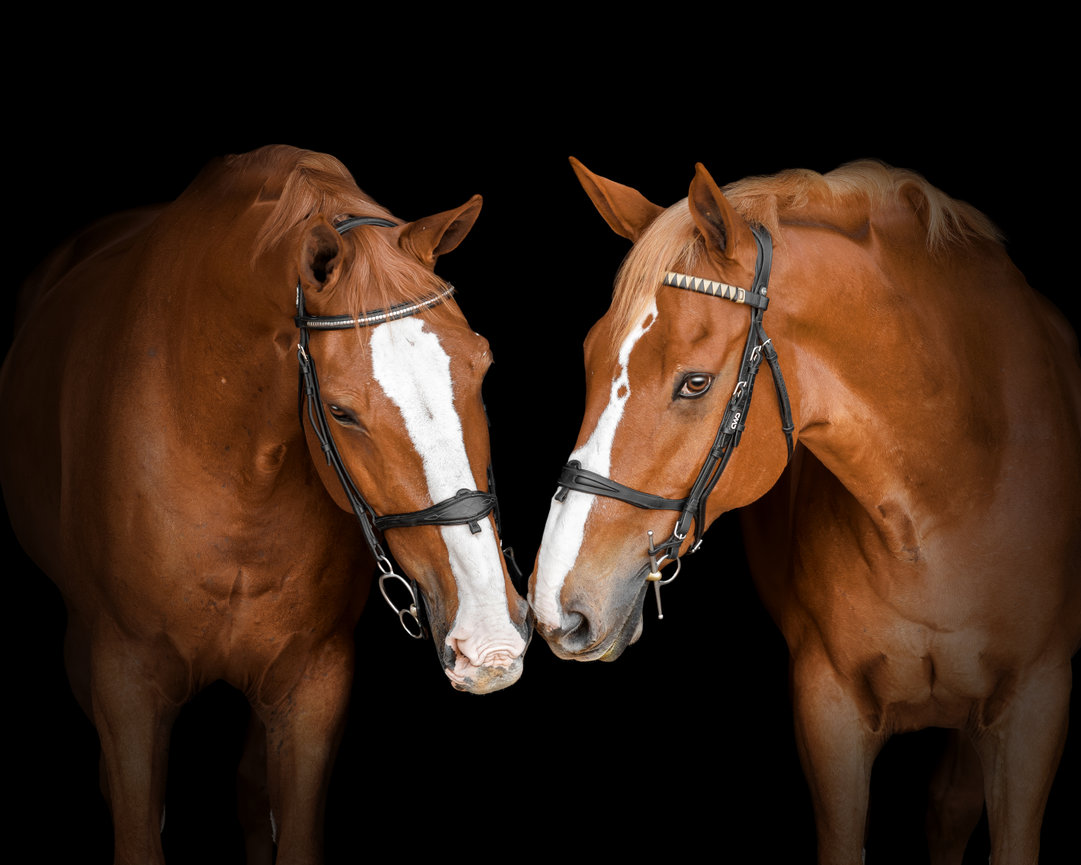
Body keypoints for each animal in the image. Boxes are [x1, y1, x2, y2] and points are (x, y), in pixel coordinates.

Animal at [529, 158, 1080, 864]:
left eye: (696, 382)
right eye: (590, 356)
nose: (555, 605)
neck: (946, 506)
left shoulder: (1037, 706)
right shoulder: (829, 709)